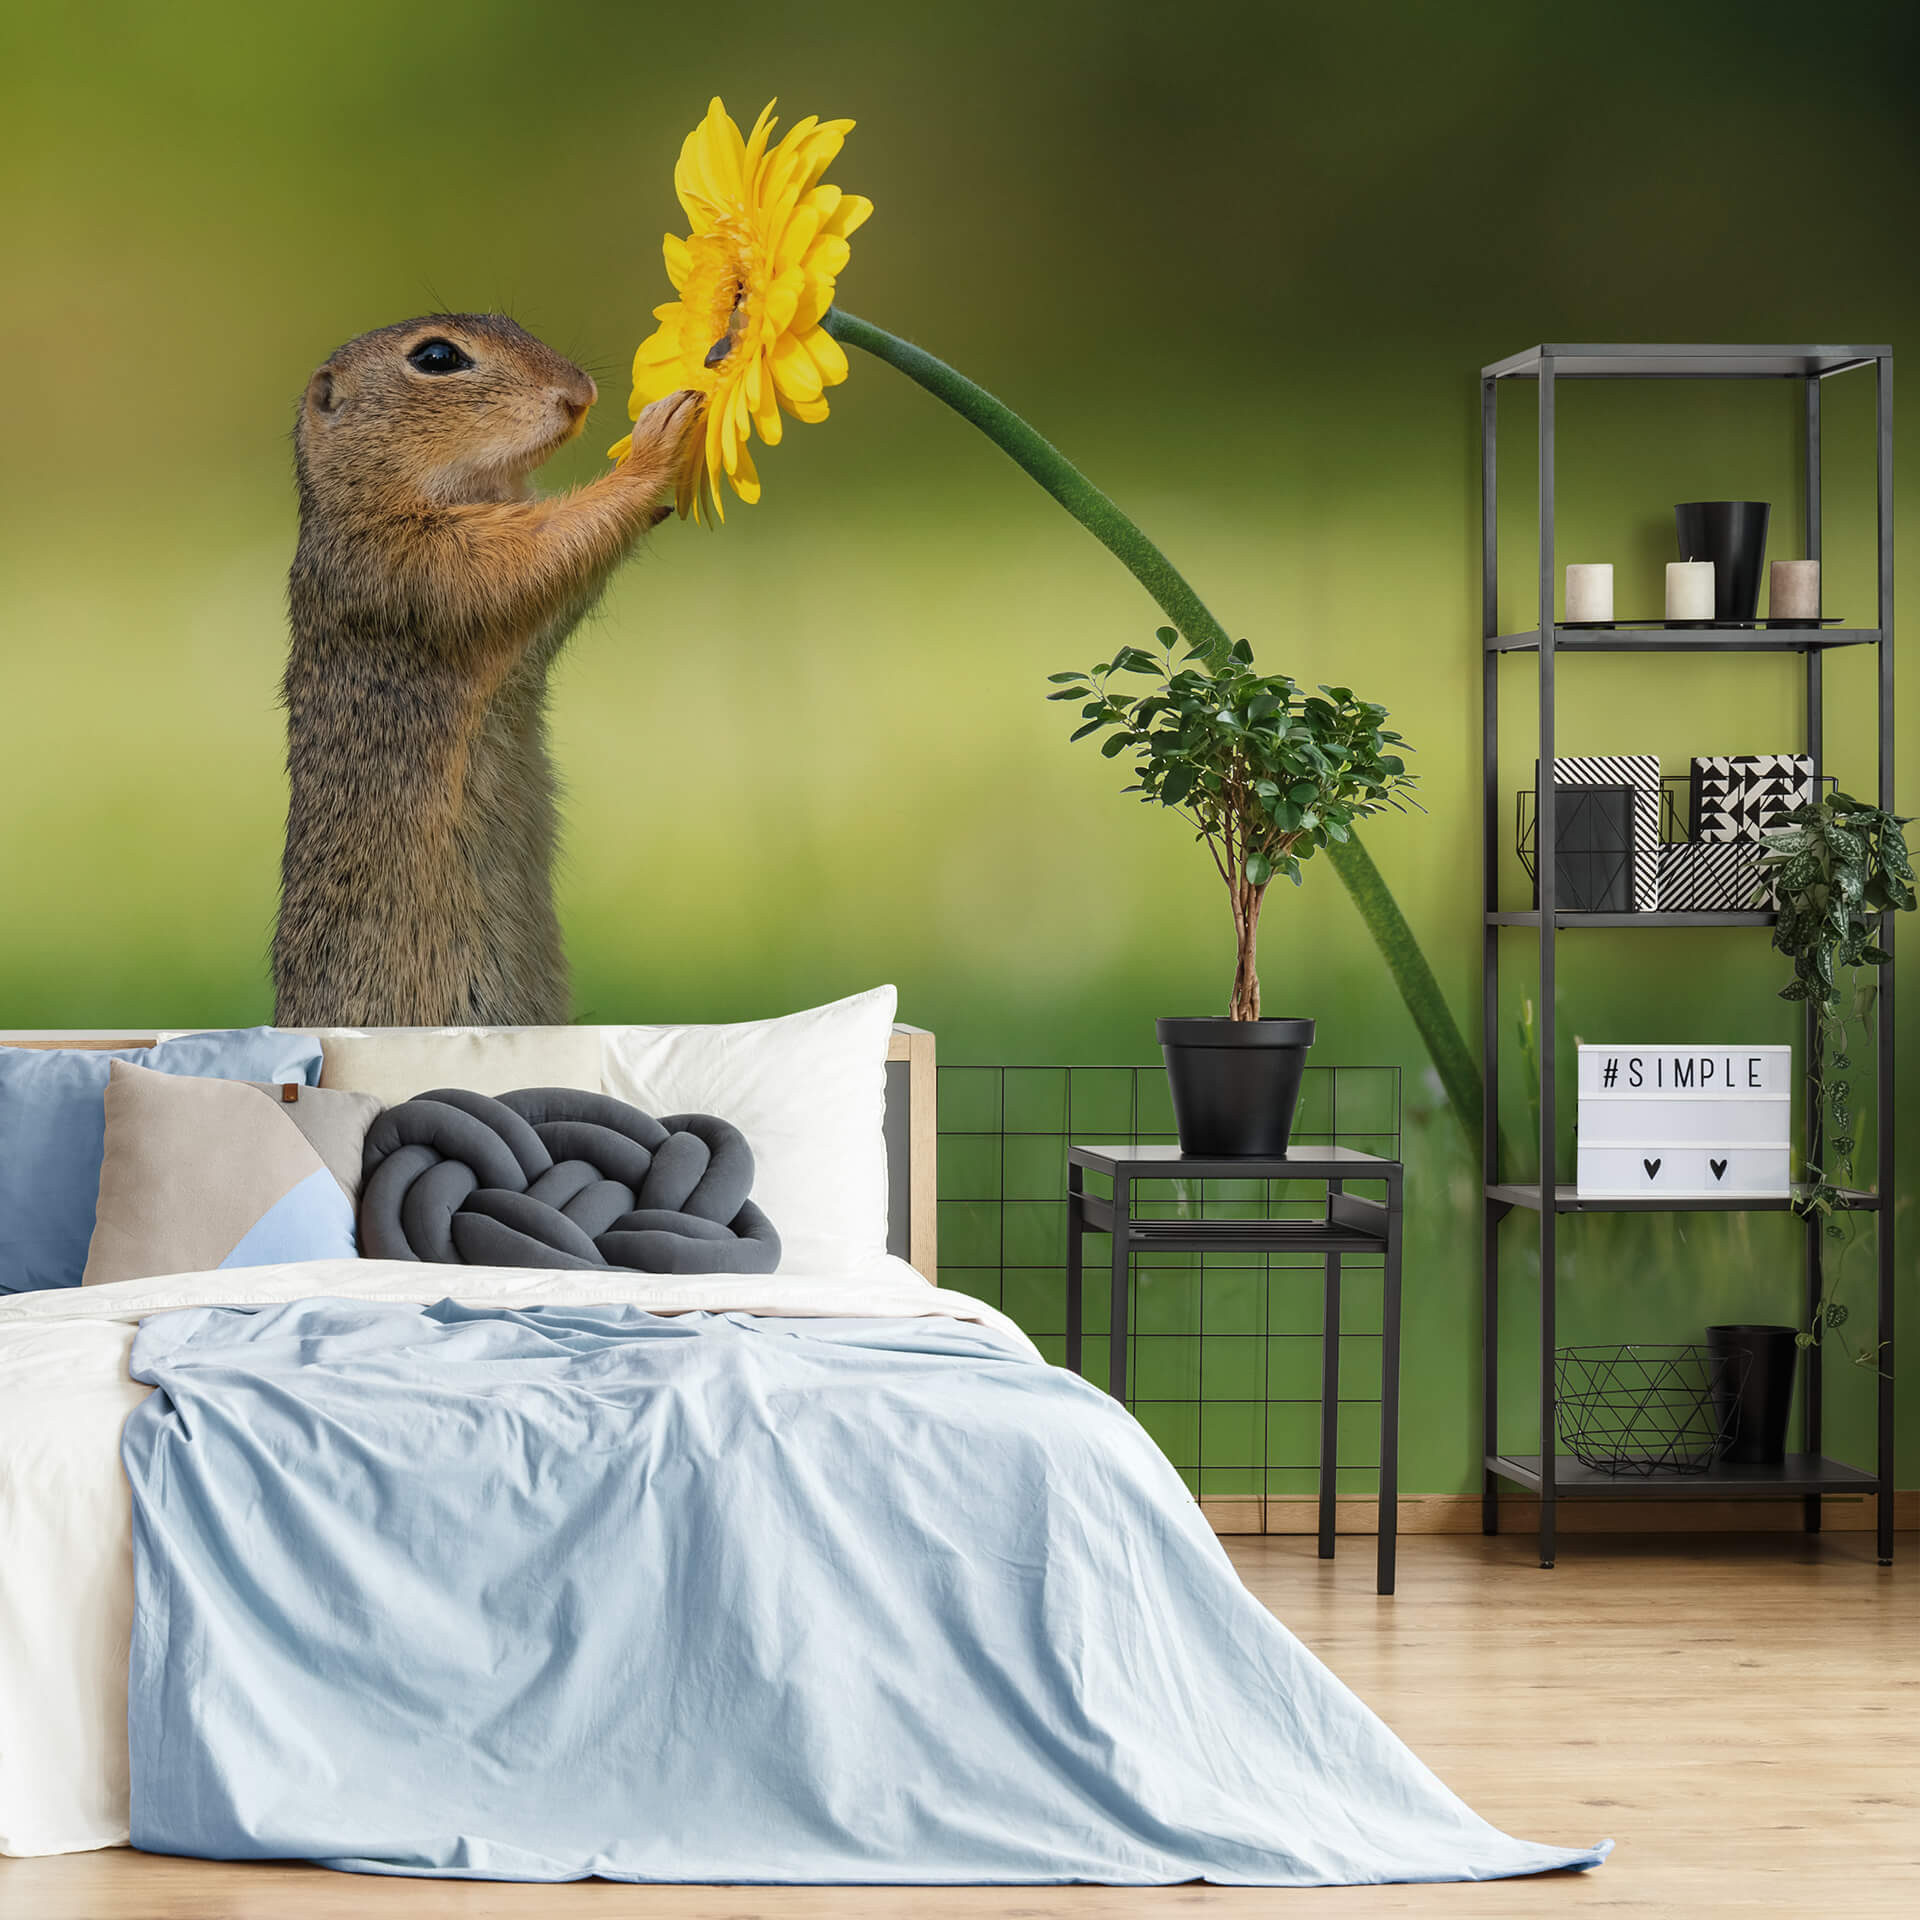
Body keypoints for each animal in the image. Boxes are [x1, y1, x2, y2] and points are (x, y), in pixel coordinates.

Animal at [271, 313, 703, 1030]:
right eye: (436, 357)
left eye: (511, 320)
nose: (580, 392)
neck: (366, 502)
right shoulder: (423, 565)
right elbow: (545, 547)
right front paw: (657, 442)